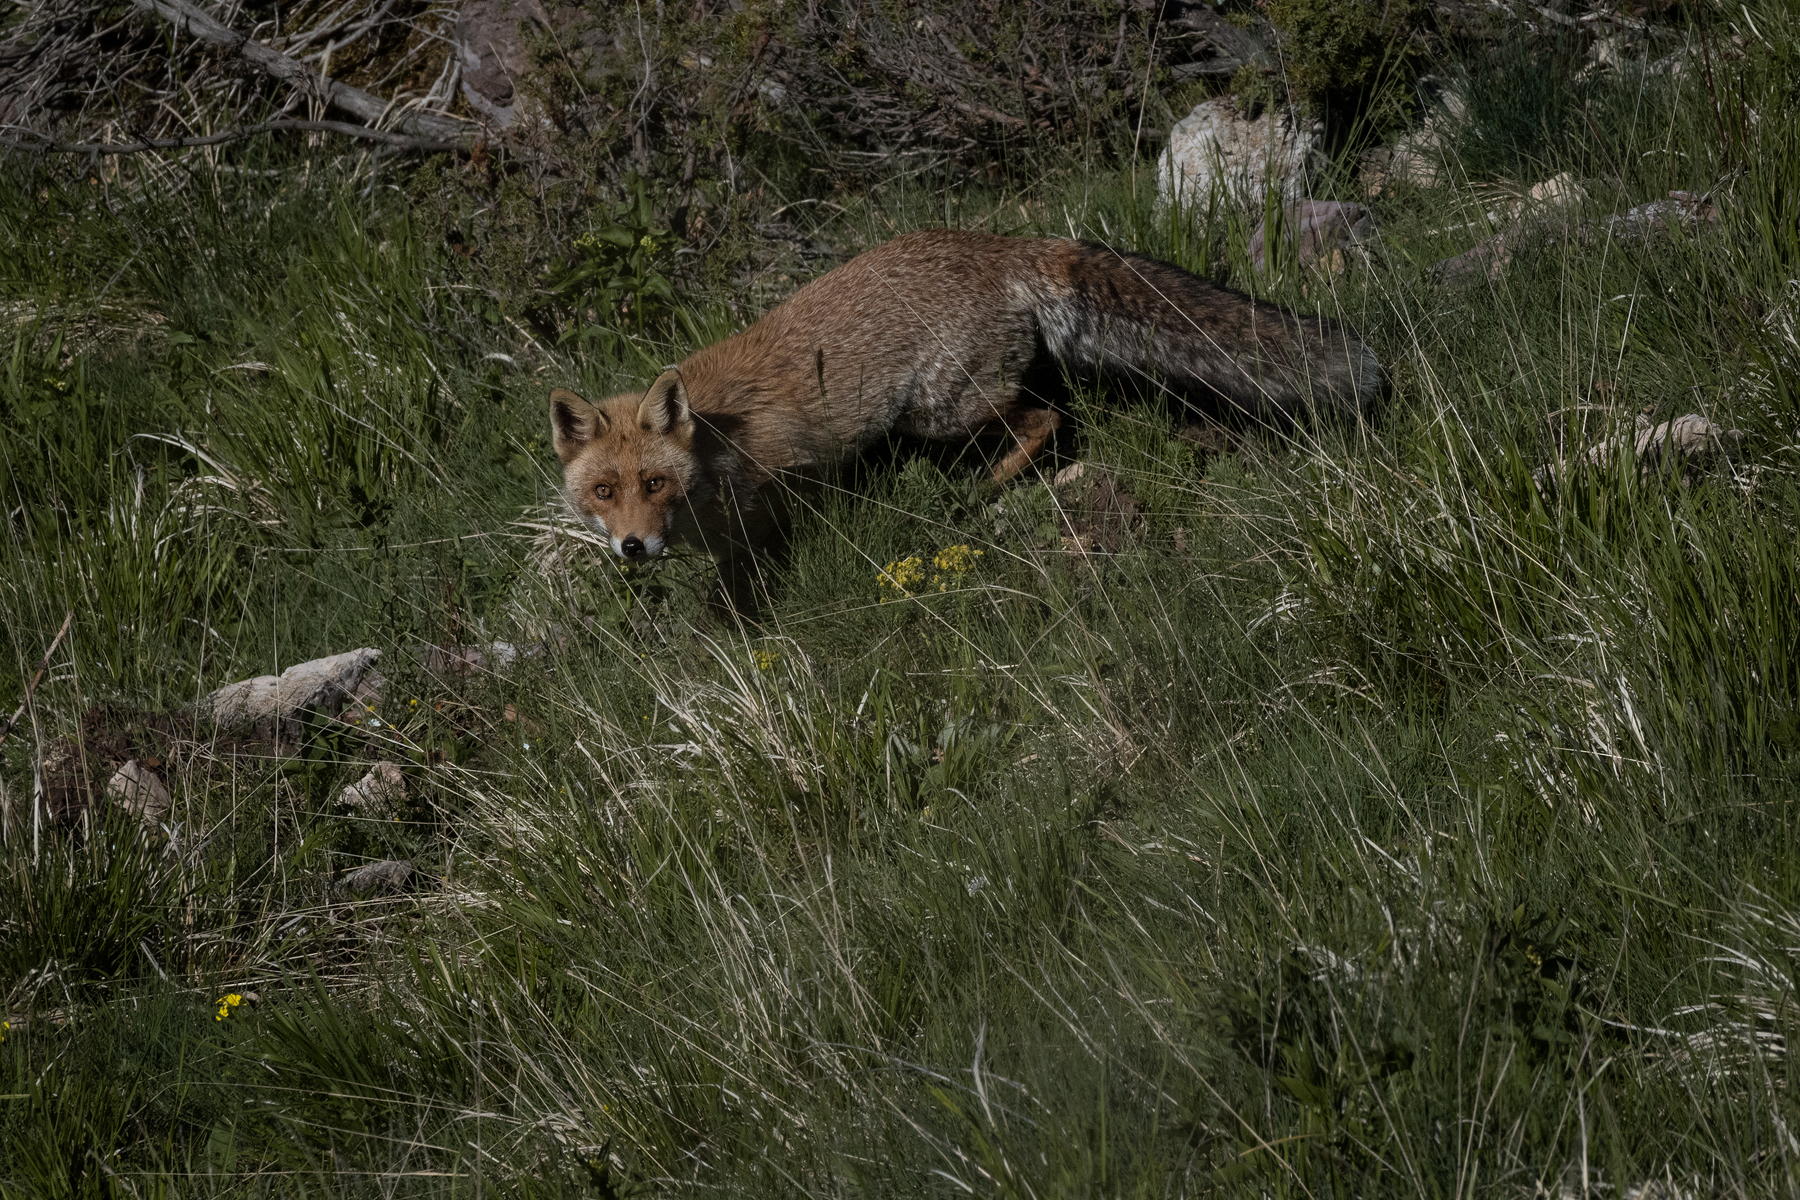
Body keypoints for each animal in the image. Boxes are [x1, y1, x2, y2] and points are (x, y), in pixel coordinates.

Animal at [550, 229, 1380, 560]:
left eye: (656, 484)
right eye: (604, 492)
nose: (632, 548)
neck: (720, 453)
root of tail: (1008, 243)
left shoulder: (801, 472)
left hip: (943, 411)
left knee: (1046, 418)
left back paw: (983, 490)